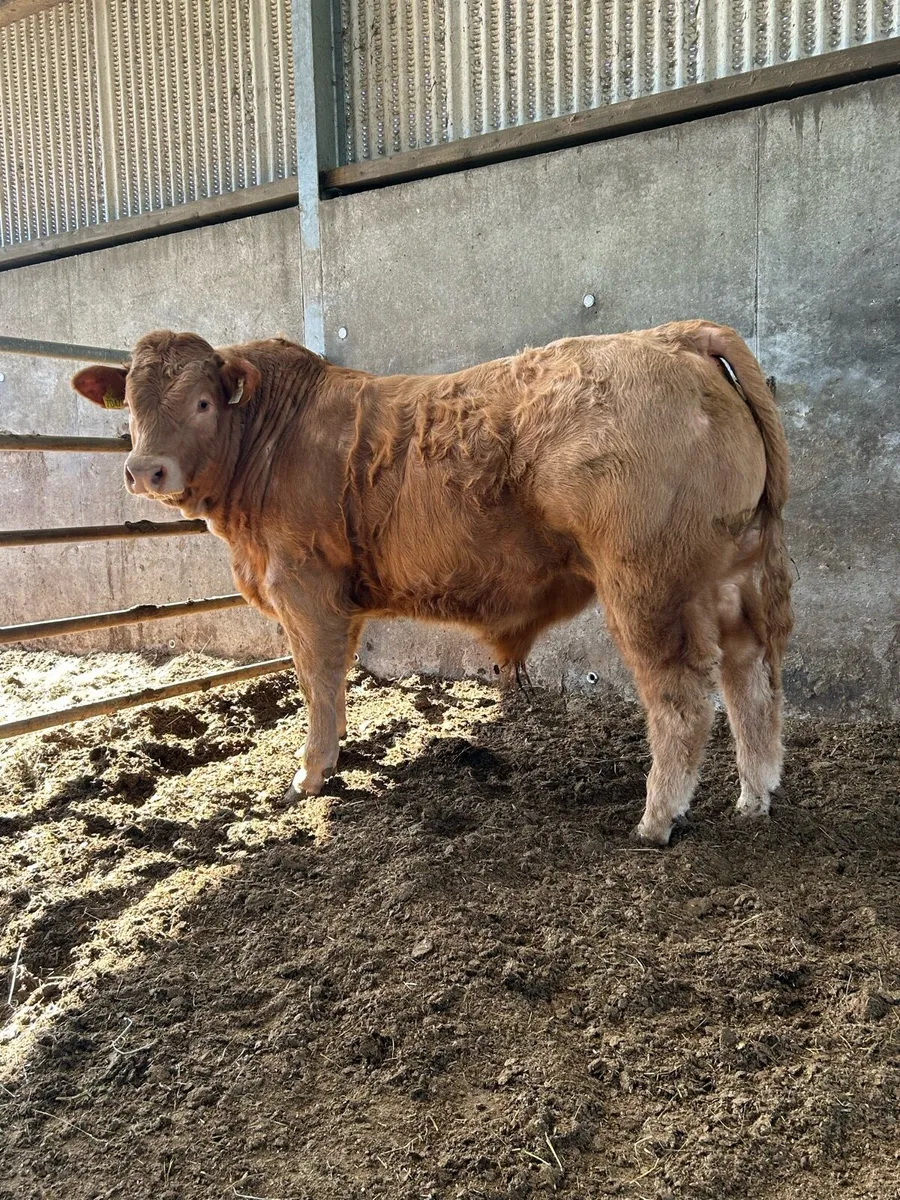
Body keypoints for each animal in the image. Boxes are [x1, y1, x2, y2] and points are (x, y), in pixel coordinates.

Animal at [71, 321, 792, 846]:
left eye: (201, 402)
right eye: (130, 404)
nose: (145, 470)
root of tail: (670, 336)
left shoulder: (305, 590)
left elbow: (318, 684)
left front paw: (311, 774)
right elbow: (334, 682)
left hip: (646, 583)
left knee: (682, 697)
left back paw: (657, 820)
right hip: (733, 575)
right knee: (751, 680)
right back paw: (755, 796)